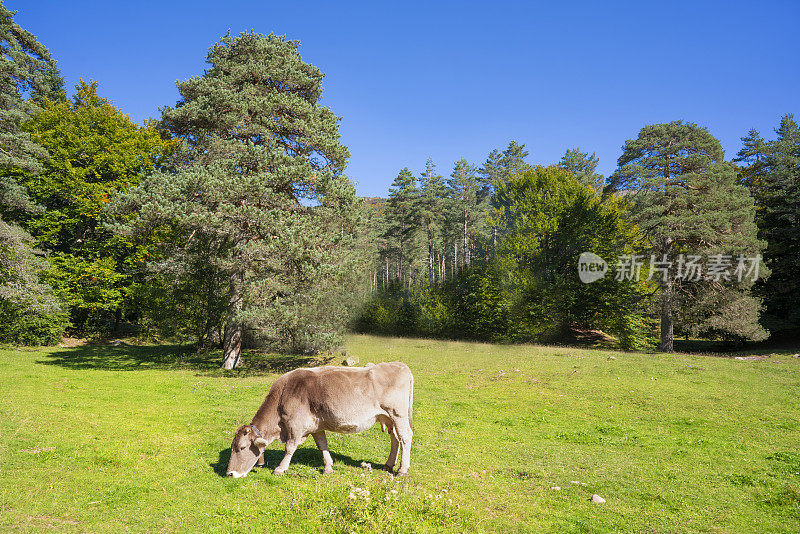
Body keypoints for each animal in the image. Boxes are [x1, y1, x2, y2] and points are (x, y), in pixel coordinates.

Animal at [225, 362, 412, 480]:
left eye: (241, 448)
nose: (230, 474)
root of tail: (399, 365)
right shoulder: (316, 426)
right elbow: (322, 445)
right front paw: (328, 467)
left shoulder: (295, 425)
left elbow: (289, 447)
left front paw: (280, 469)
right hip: (389, 417)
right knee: (395, 438)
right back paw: (389, 464)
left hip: (398, 414)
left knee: (405, 437)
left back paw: (402, 470)